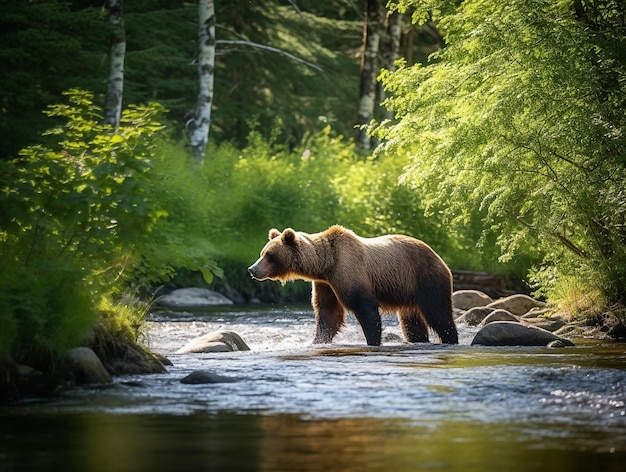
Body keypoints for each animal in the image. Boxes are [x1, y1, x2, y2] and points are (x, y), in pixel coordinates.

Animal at [246, 225, 456, 346]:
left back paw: (451, 339)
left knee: (438, 312)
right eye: (262, 252)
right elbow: (328, 313)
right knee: (411, 322)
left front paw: (373, 341)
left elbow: (364, 307)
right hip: (406, 291)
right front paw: (317, 340)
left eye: (269, 255)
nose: (252, 269)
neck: (325, 264)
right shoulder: (325, 284)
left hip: (425, 278)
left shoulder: (348, 270)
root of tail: (438, 256)